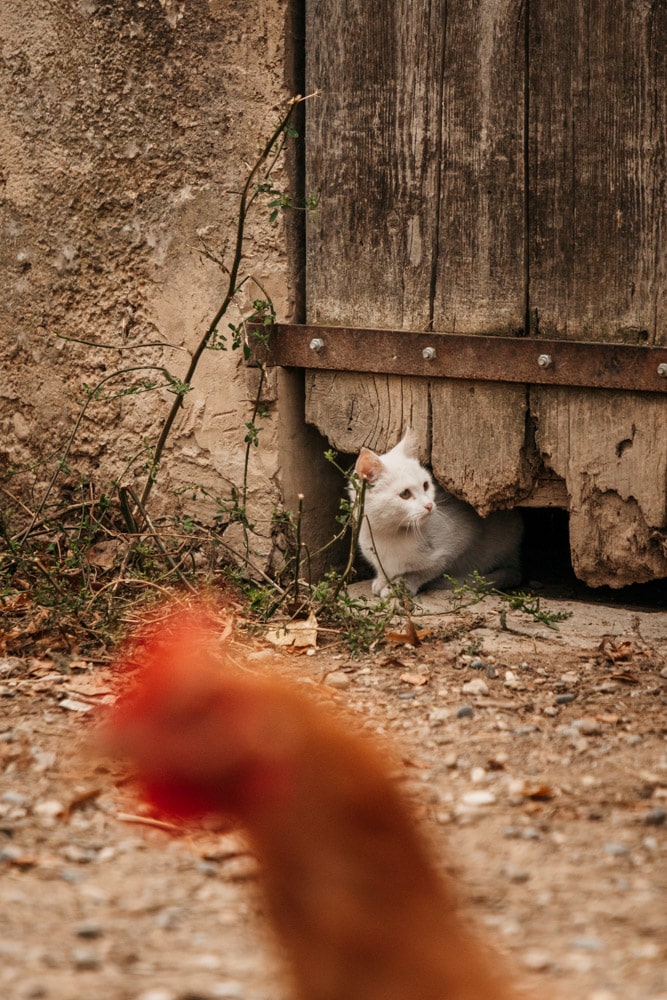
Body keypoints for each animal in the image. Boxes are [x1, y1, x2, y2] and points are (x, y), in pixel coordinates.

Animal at [352, 432, 524, 600]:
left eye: (426, 485)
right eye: (405, 494)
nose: (429, 505)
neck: (389, 534)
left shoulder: (458, 541)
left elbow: (422, 572)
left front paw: (399, 585)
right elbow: (382, 568)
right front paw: (382, 580)